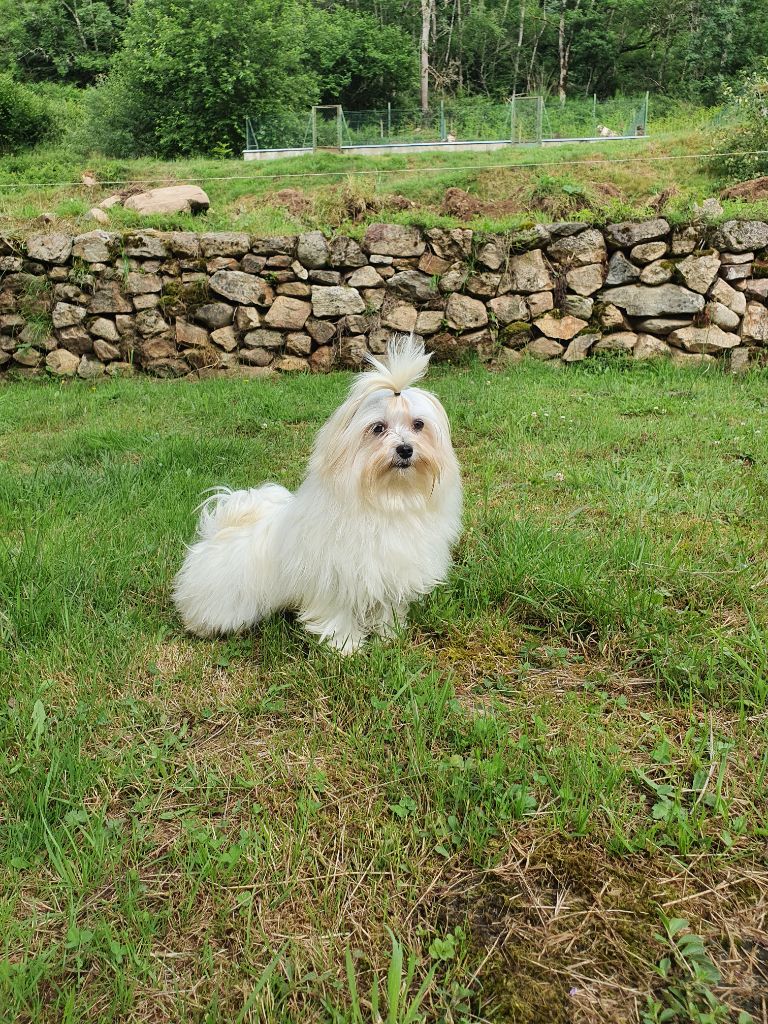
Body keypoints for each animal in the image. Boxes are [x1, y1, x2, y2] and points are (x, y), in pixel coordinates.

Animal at [174, 337, 462, 655]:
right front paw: (346, 647)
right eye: (378, 428)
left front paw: (388, 635)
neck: (386, 501)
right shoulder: (335, 579)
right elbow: (339, 614)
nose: (405, 449)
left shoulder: (386, 575)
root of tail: (221, 527)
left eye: (418, 425)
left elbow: (385, 608)